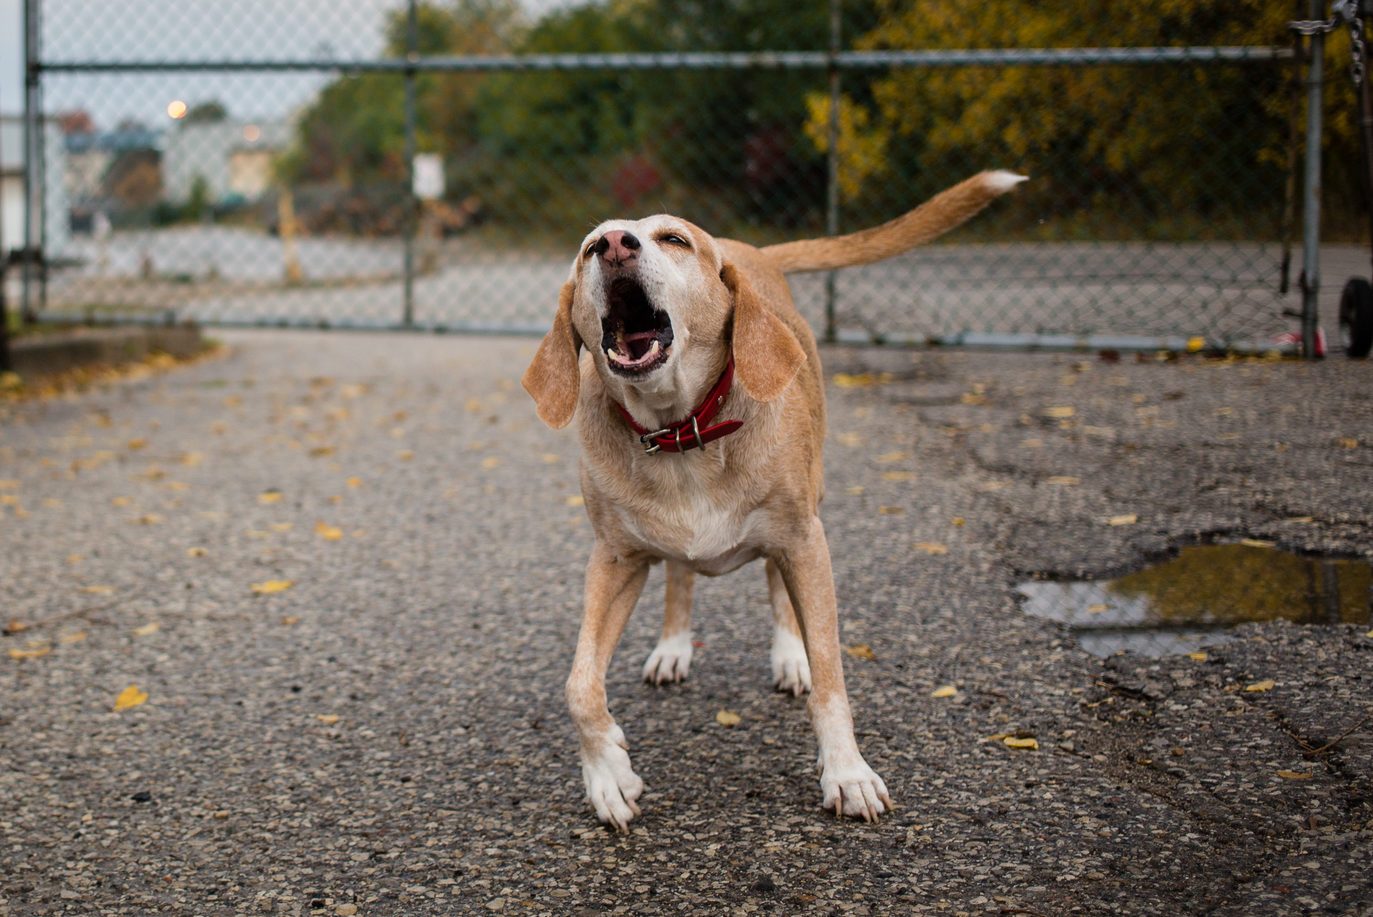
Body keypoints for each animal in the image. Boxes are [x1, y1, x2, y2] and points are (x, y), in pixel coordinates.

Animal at [518, 168, 1027, 829]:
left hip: (804, 515)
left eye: (674, 239)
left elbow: (833, 678)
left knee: (776, 585)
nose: (614, 246)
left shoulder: (804, 541)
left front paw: (846, 772)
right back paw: (674, 646)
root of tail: (751, 250)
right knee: (680, 576)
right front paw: (608, 774)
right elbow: (579, 686)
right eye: (586, 250)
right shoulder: (614, 559)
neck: (682, 432)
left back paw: (790, 655)